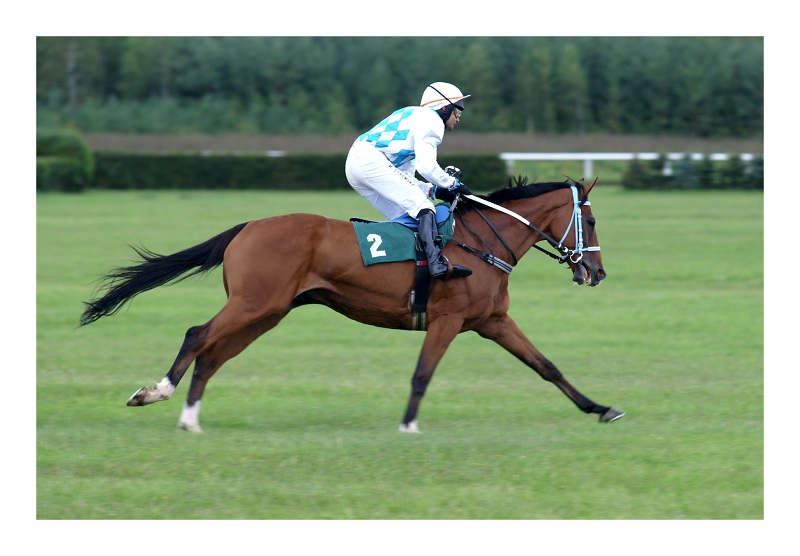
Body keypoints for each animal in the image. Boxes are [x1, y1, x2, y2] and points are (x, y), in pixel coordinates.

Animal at [79, 176, 624, 432]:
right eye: (593, 221)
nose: (596, 273)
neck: (481, 241)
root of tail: (248, 227)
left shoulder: (492, 320)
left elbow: (547, 366)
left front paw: (600, 408)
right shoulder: (447, 320)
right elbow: (423, 374)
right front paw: (408, 424)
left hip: (267, 312)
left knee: (213, 355)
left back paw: (191, 419)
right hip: (255, 303)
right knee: (198, 336)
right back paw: (155, 393)